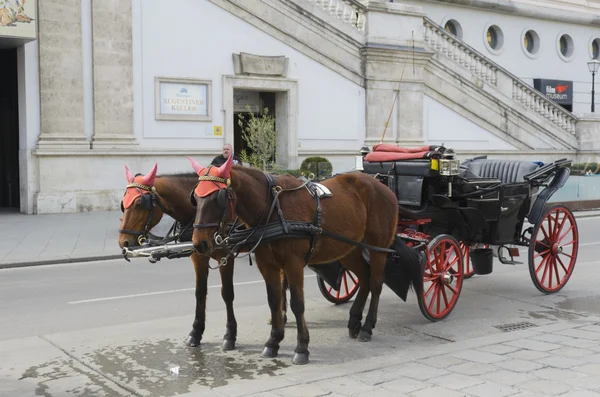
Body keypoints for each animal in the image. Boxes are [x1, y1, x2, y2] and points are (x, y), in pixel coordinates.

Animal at [116, 164, 240, 350]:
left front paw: (230, 335)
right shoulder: (198, 257)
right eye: (123, 204)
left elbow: (227, 293)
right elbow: (199, 292)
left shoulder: (226, 257)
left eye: (139, 203)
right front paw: (195, 332)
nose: (123, 242)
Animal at [188, 155, 422, 366]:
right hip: (349, 248)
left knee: (375, 282)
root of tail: (382, 186)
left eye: (217, 198)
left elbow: (297, 303)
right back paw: (355, 321)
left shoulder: (293, 264)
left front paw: (302, 347)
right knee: (364, 276)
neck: (273, 207)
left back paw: (367, 326)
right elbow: (274, 300)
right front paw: (273, 341)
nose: (200, 244)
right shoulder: (267, 264)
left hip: (377, 247)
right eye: (195, 199)